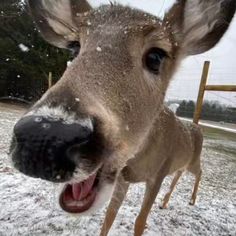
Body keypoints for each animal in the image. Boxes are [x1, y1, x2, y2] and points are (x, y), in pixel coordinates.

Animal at [9, 0, 234, 236]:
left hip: (192, 160)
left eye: (156, 56)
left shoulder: (159, 173)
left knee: (199, 172)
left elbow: (139, 220)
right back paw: (165, 203)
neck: (139, 159)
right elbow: (109, 215)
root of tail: (197, 126)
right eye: (74, 47)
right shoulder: (123, 178)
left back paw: (191, 200)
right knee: (180, 175)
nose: (44, 138)